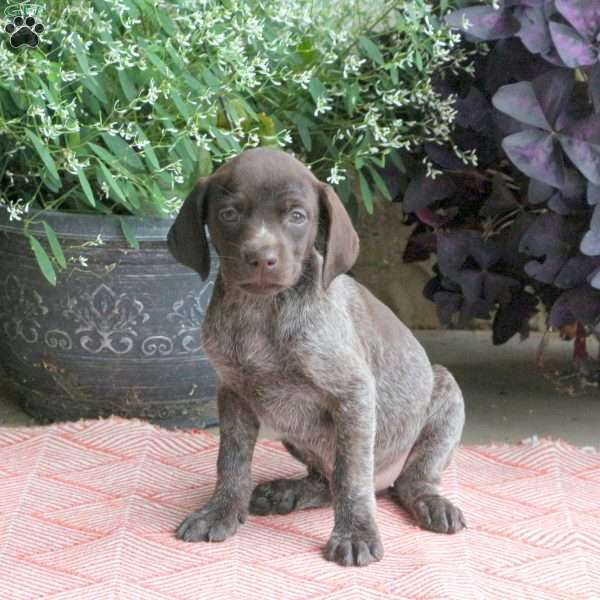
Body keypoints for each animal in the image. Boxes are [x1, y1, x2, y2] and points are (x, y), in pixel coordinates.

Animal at [166, 148, 466, 564]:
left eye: (297, 216)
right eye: (228, 214)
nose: (262, 258)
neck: (261, 310)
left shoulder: (353, 394)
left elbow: (351, 476)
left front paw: (355, 533)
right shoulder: (233, 392)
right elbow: (231, 461)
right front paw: (221, 510)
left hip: (444, 394)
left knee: (407, 478)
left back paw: (430, 502)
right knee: (327, 479)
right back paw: (287, 492)